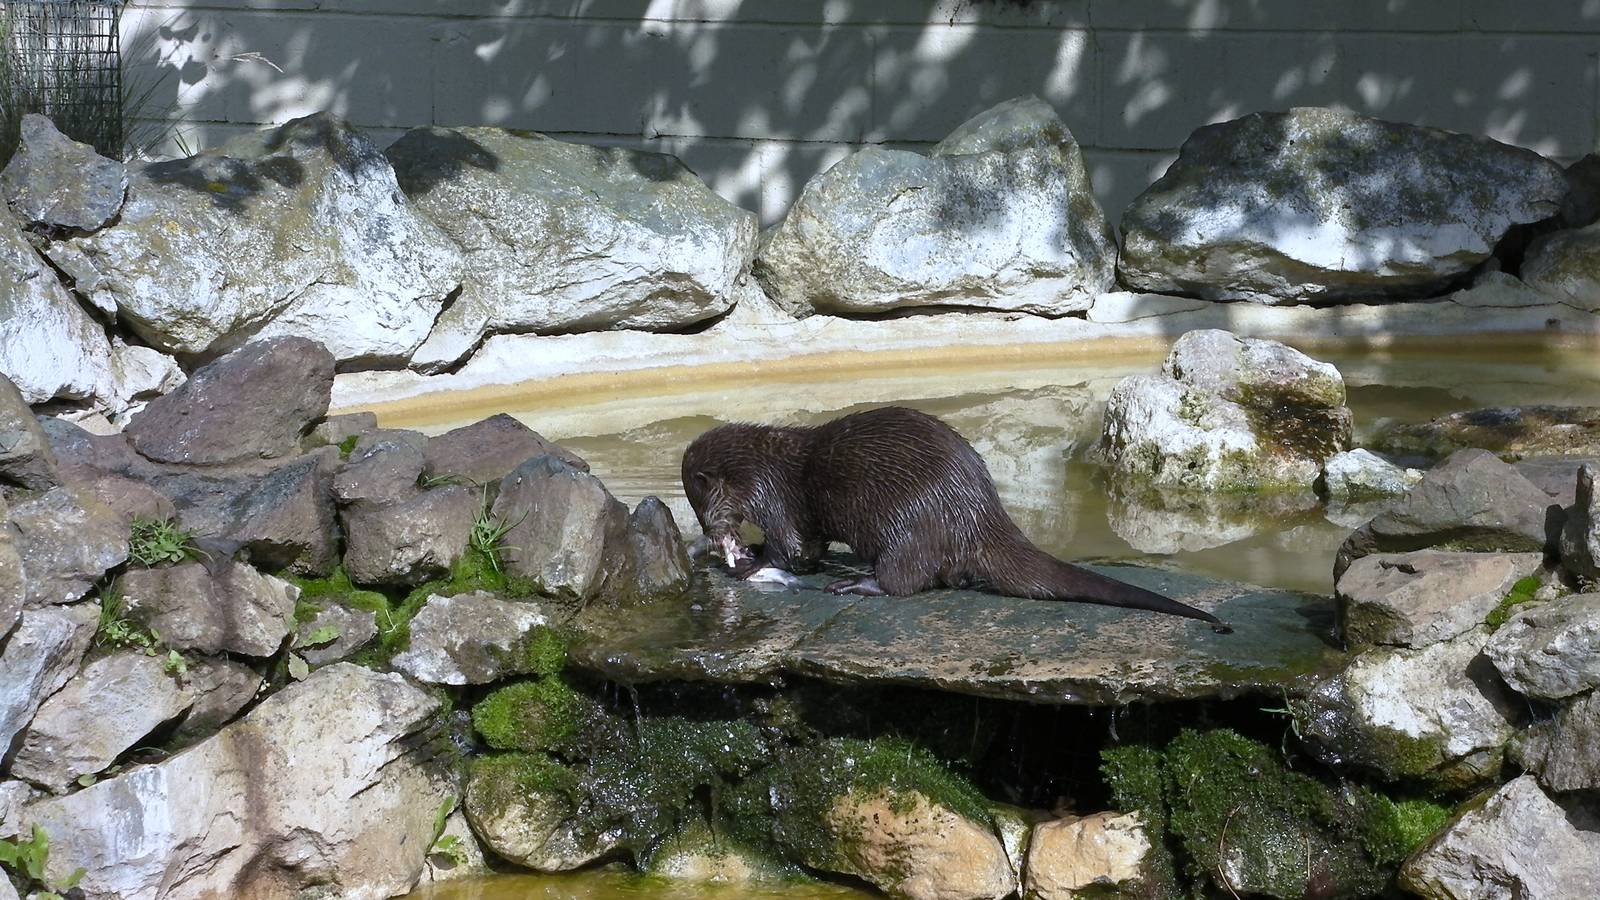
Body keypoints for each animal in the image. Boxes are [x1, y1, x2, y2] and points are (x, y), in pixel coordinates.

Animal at [681, 406, 1230, 631]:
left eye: (701, 507)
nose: (709, 534)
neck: (762, 466)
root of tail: (979, 514)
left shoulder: (775, 497)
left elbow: (792, 548)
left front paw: (750, 562)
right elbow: (810, 548)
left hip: (907, 525)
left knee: (906, 579)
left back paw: (855, 584)